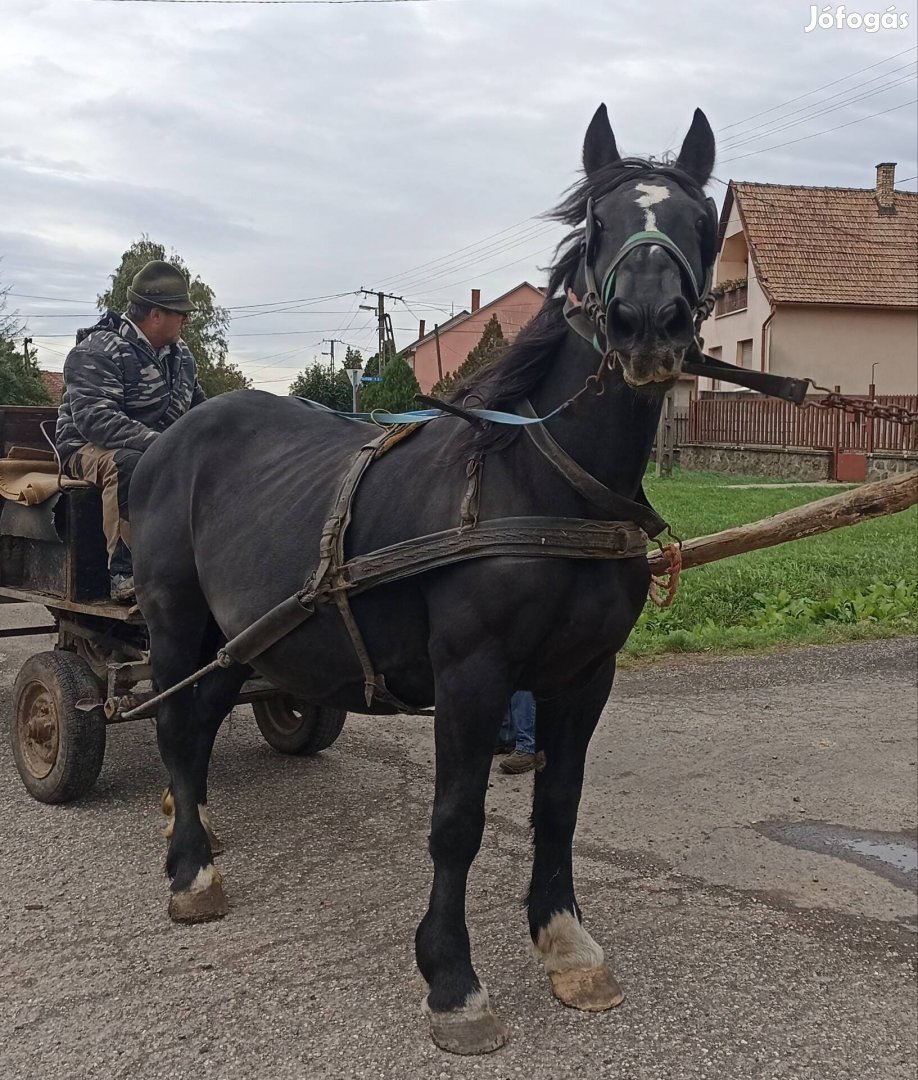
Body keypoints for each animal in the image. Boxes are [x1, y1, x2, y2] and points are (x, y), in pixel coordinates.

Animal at [130, 107, 717, 1054]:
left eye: (702, 220)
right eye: (599, 223)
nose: (647, 324)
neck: (542, 484)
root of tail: (169, 441)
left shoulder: (585, 677)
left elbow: (559, 804)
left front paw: (566, 945)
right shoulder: (473, 675)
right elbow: (457, 823)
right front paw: (452, 981)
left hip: (246, 638)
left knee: (203, 723)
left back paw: (201, 832)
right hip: (177, 622)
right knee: (179, 728)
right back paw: (191, 872)